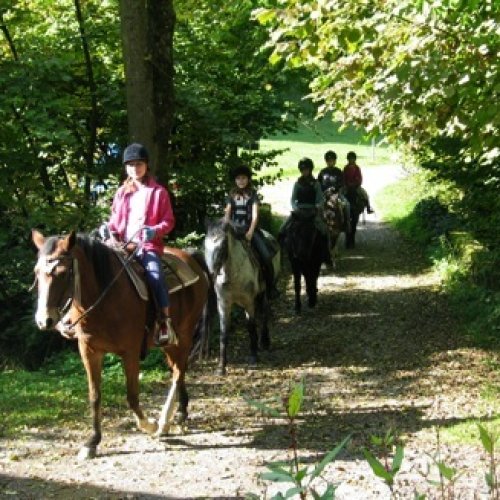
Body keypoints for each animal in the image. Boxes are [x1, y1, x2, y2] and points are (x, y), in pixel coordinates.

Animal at [31, 229, 211, 458]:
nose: (43, 320)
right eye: (36, 272)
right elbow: (95, 396)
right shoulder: (89, 351)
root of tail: (191, 257)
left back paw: (163, 422)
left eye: (62, 273)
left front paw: (149, 425)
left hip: (184, 335)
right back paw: (180, 413)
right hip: (170, 343)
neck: (106, 297)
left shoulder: (130, 352)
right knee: (177, 370)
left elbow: (132, 396)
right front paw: (92, 442)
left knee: (179, 372)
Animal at [204, 220, 282, 376]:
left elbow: (250, 326)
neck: (232, 274)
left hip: (264, 293)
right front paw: (221, 367)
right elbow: (223, 332)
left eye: (222, 245)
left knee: (264, 313)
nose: (211, 274)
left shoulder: (248, 302)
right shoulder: (223, 304)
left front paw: (253, 357)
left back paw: (264, 341)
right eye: (205, 245)